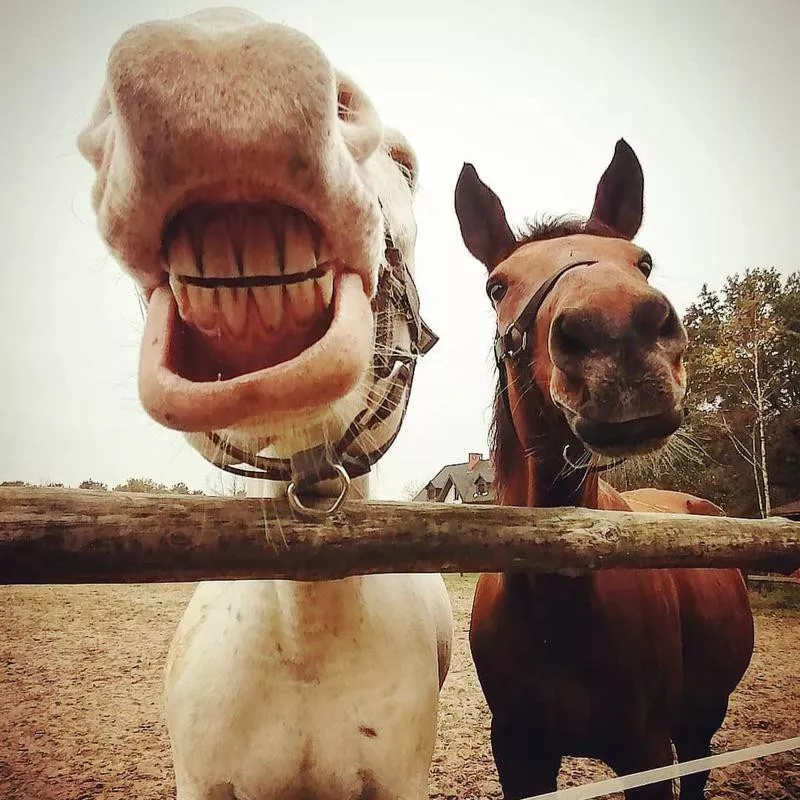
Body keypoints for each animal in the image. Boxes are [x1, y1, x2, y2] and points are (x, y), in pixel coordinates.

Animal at [454, 142, 752, 800]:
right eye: (494, 285)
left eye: (643, 261)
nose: (618, 332)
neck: (557, 608)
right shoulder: (519, 754)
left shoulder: (647, 755)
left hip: (701, 720)